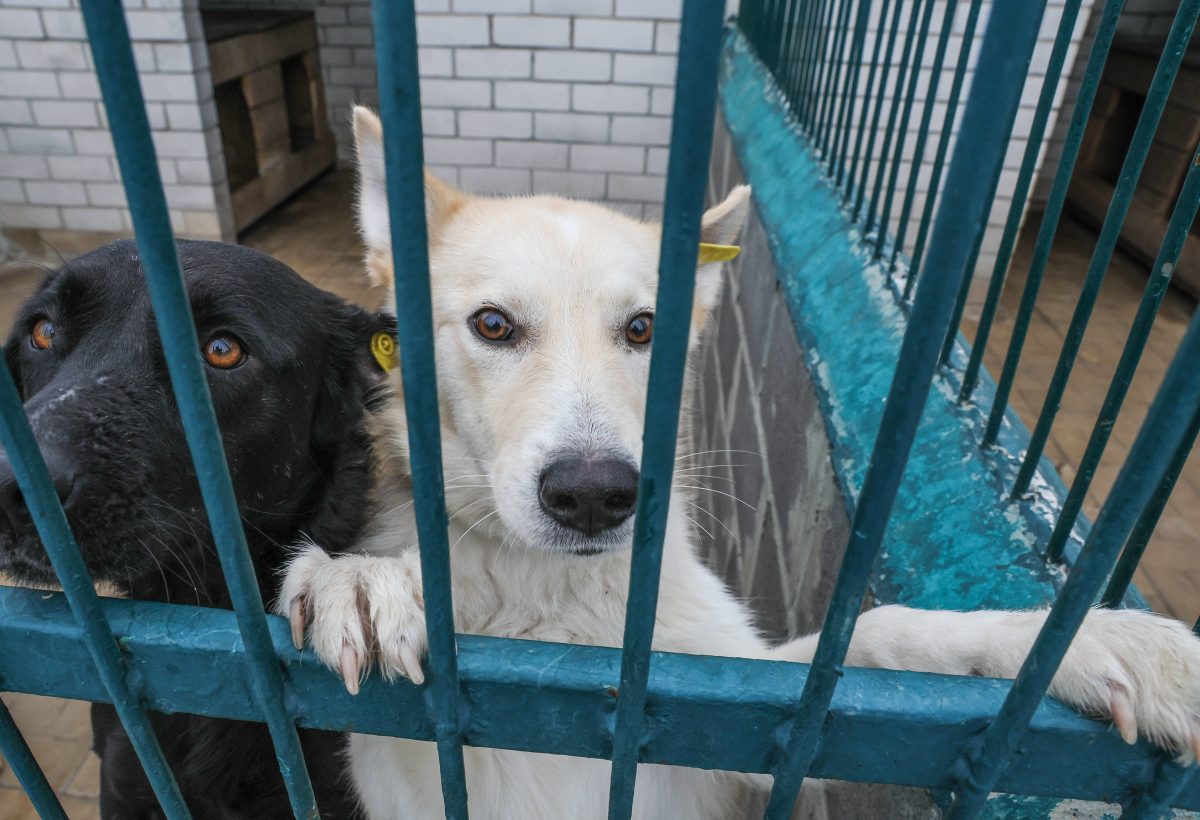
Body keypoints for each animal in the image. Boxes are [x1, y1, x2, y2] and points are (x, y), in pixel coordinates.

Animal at [276, 105, 1200, 816]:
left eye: (645, 329)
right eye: (493, 325)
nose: (594, 495)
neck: (561, 608)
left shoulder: (746, 730)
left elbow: (875, 643)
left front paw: (1069, 644)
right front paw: (359, 579)